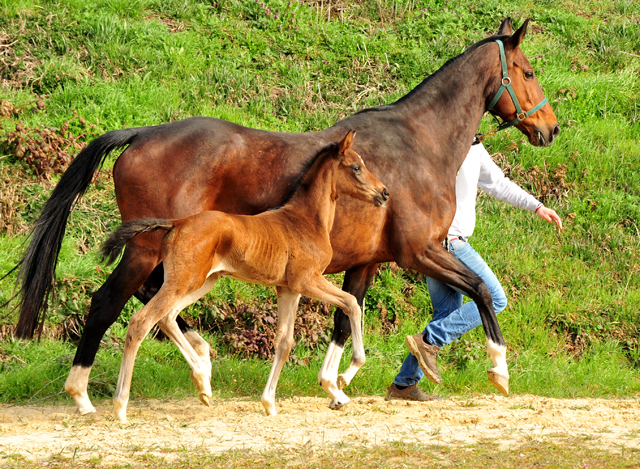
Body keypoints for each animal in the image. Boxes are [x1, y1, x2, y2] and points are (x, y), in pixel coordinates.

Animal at [101, 132, 390, 420]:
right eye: (356, 167)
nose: (384, 193)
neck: (306, 220)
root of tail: (177, 223)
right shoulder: (307, 280)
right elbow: (351, 304)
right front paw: (348, 372)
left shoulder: (288, 289)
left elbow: (284, 341)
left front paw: (269, 403)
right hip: (182, 281)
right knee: (141, 321)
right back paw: (121, 405)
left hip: (202, 282)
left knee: (167, 317)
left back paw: (203, 385)